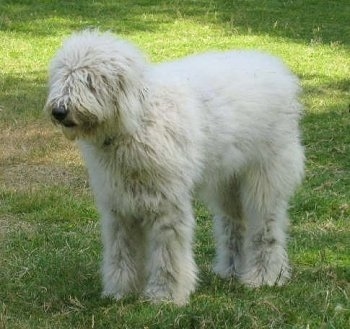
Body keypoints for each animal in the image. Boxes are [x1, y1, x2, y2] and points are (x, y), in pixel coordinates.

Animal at [44, 30, 304, 304]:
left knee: (266, 228)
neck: (138, 120)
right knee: (234, 224)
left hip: (265, 177)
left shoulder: (166, 204)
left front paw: (165, 295)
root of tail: (275, 67)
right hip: (228, 182)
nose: (59, 111)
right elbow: (121, 251)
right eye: (62, 75)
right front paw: (121, 291)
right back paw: (231, 270)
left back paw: (265, 276)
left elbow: (168, 255)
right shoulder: (119, 207)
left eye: (90, 79)